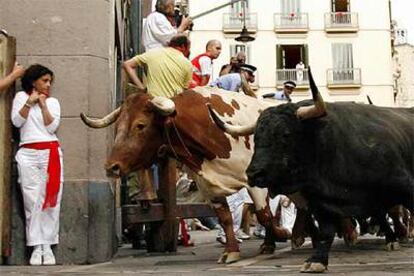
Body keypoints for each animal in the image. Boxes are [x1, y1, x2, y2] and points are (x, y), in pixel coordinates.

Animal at [79, 87, 290, 264]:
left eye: (140, 125)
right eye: (117, 127)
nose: (111, 167)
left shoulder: (255, 182)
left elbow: (264, 215)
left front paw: (281, 234)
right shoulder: (208, 185)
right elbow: (226, 218)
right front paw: (231, 251)